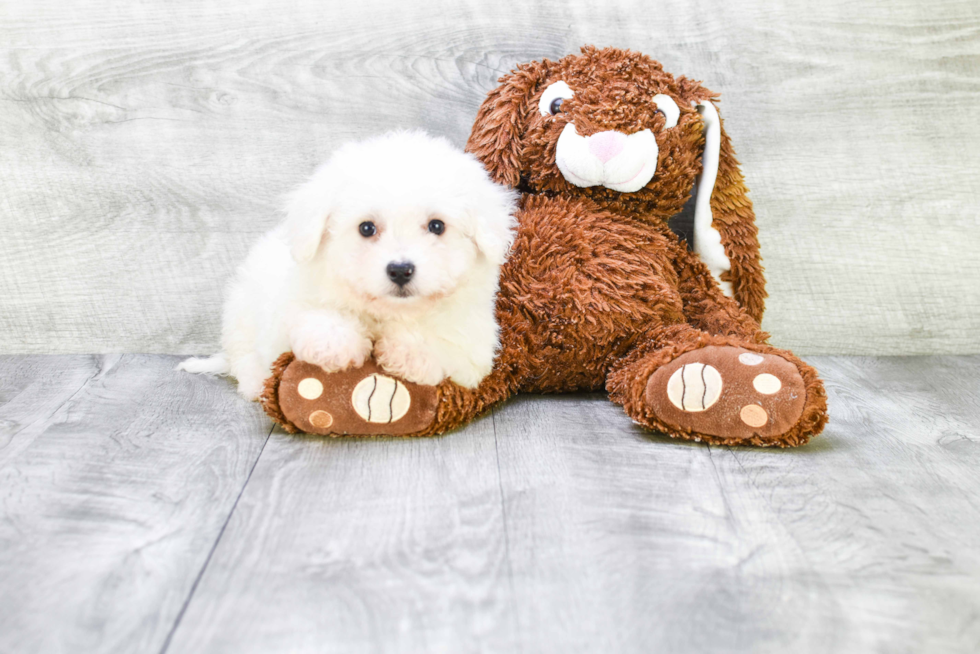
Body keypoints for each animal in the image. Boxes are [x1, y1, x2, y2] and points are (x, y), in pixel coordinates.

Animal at [185, 129, 520, 400]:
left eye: (437, 226)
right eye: (366, 228)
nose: (400, 270)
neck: (387, 312)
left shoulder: (475, 340)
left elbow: (447, 342)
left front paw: (409, 352)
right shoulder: (289, 301)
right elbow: (308, 314)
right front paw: (336, 343)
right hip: (241, 312)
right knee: (244, 357)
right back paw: (256, 383)